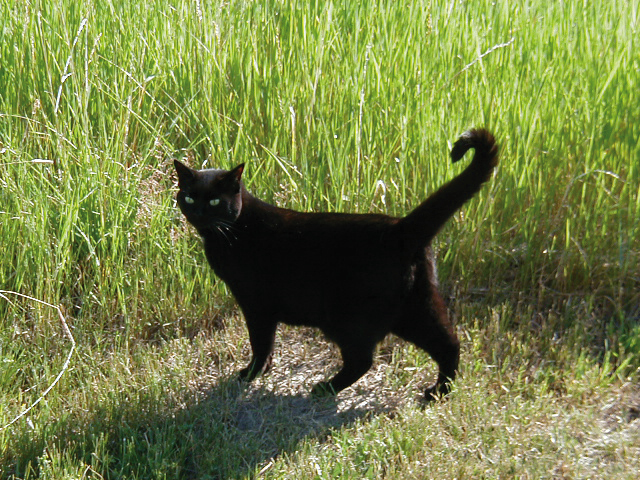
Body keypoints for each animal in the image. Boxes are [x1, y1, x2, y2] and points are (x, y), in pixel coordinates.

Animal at [175, 128, 500, 402]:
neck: (233, 231)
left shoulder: (256, 303)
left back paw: (325, 388)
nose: (199, 213)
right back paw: (438, 393)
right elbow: (266, 344)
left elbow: (260, 343)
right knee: (449, 344)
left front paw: (252, 373)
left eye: (215, 202)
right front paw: (262, 371)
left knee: (363, 359)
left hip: (349, 318)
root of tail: (401, 228)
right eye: (189, 197)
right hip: (415, 308)